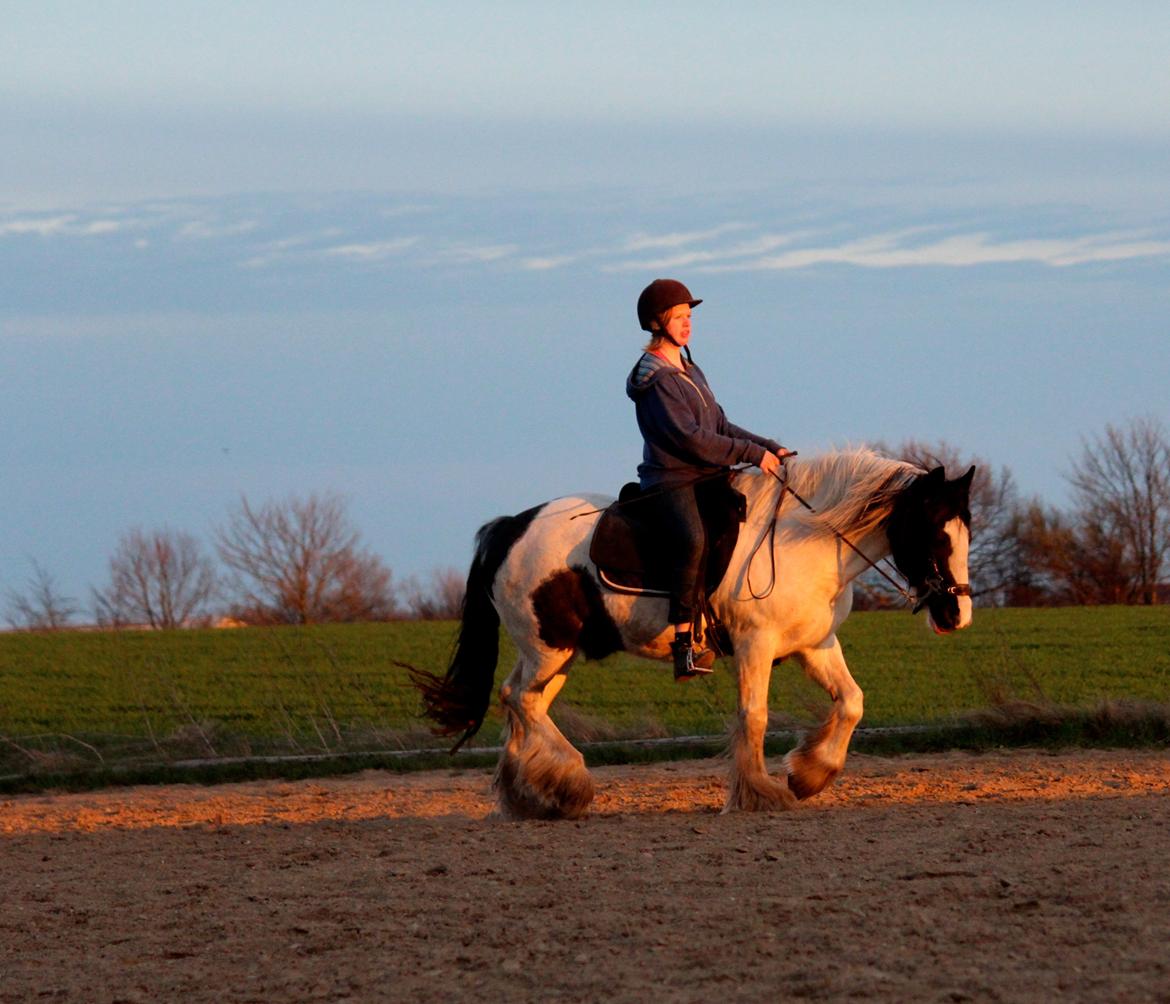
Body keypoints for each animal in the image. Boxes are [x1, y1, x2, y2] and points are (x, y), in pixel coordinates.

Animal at [416, 449, 973, 819]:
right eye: (934, 534)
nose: (957, 614)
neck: (806, 540)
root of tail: (511, 527)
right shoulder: (754, 645)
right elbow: (754, 716)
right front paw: (761, 793)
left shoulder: (814, 645)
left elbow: (852, 702)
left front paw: (809, 774)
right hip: (548, 648)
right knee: (522, 701)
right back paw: (568, 784)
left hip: (554, 653)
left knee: (520, 702)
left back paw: (526, 795)